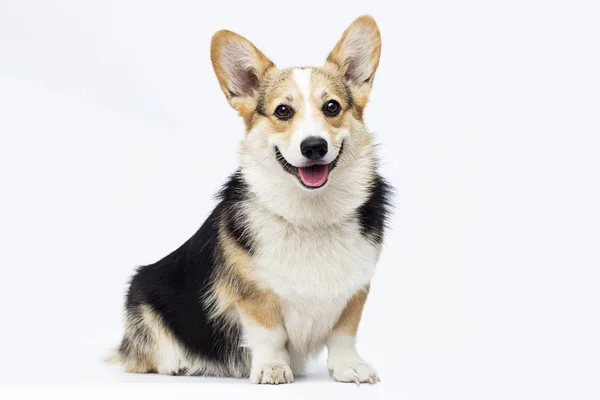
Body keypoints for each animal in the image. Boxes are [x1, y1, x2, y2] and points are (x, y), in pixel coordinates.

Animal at [111, 14, 394, 384]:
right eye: (283, 111)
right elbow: (269, 333)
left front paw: (350, 367)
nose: (314, 146)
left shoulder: (355, 291)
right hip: (146, 293)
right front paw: (272, 368)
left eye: (332, 106)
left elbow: (344, 333)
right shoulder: (254, 294)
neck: (310, 215)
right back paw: (176, 363)